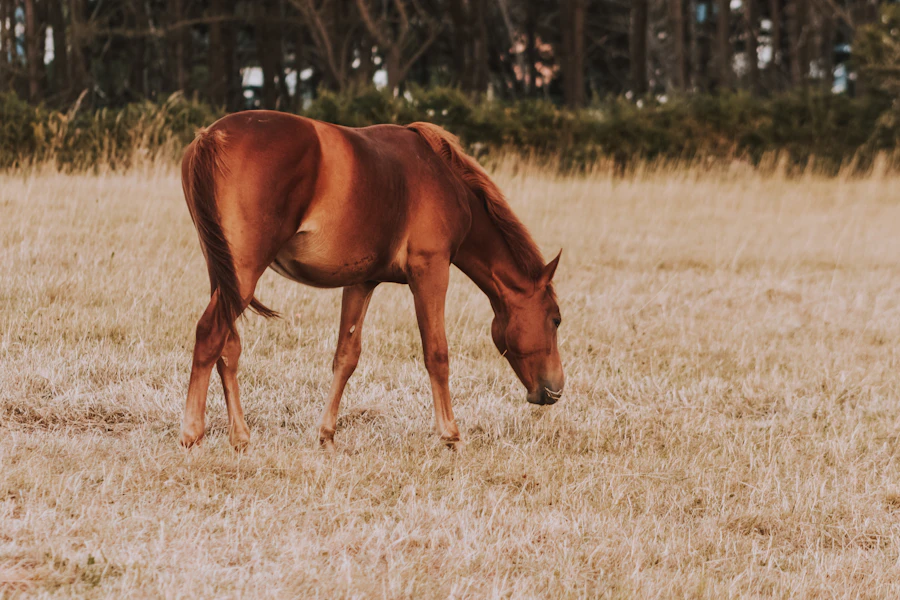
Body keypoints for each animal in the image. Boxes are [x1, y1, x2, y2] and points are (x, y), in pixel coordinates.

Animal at [179, 111, 564, 451]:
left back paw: (240, 437)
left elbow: (346, 356)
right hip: (243, 277)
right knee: (209, 334)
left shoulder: (361, 282)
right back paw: (192, 433)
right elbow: (436, 353)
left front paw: (327, 435)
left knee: (228, 347)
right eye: (556, 319)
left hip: (225, 278)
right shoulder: (431, 270)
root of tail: (211, 137)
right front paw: (451, 435)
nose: (556, 389)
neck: (443, 179)